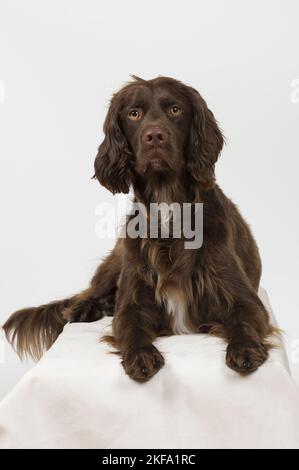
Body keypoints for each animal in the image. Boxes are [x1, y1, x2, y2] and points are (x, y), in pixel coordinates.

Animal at [2, 76, 278, 382]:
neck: (168, 207)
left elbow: (245, 320)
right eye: (134, 114)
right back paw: (83, 309)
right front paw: (141, 356)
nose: (155, 136)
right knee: (90, 292)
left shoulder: (241, 297)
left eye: (175, 110)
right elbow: (130, 326)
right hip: (118, 258)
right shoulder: (134, 299)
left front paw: (245, 349)